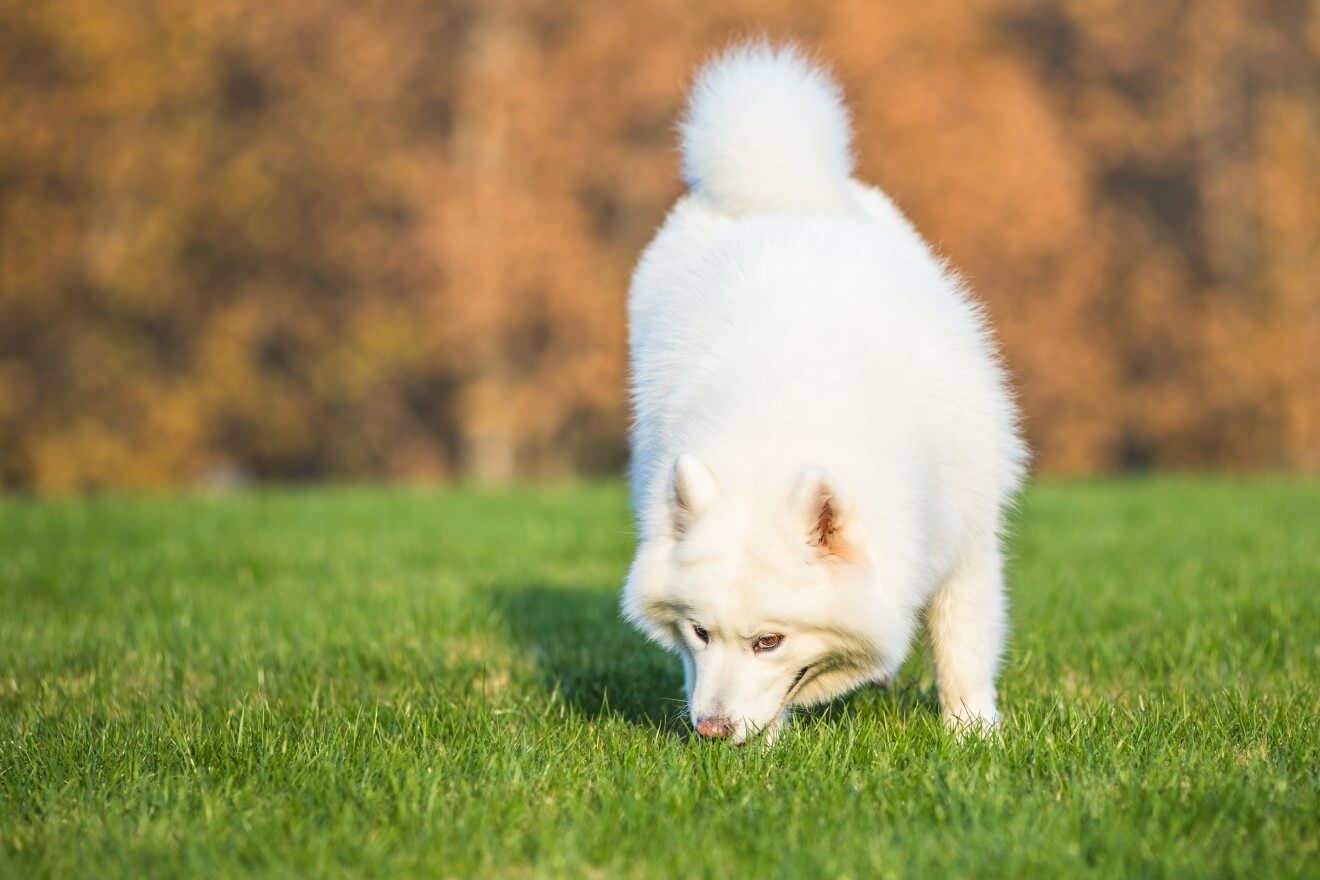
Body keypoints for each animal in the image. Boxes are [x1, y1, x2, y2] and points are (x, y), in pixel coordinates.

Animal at [623, 41, 1024, 744]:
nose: (710, 731)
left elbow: (962, 651)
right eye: (701, 632)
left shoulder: (968, 544)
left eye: (769, 642)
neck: (779, 426)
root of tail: (782, 194)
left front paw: (973, 737)